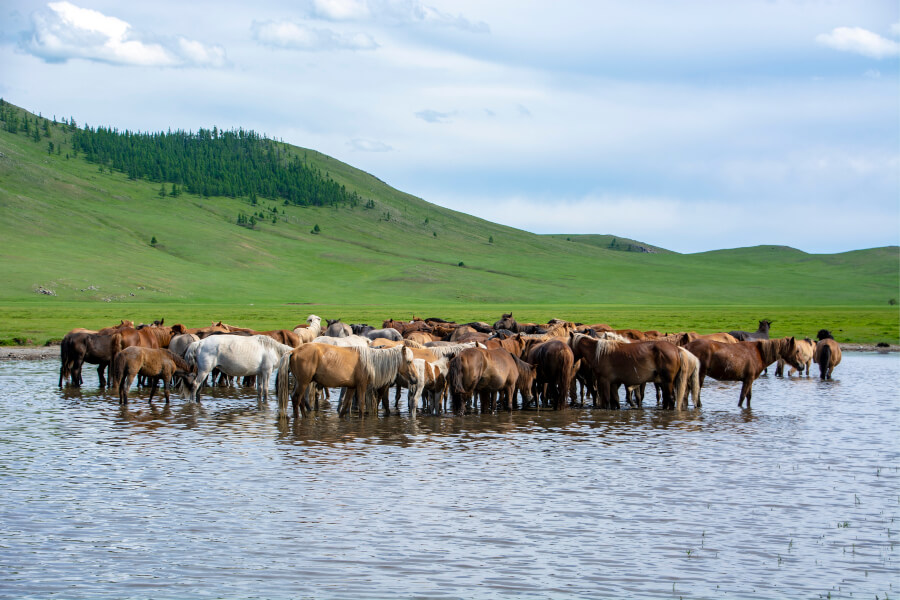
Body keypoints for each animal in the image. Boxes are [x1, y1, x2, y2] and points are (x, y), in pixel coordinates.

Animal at [275, 344, 416, 419]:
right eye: (409, 361)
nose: (415, 379)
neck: (371, 362)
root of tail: (293, 351)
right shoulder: (361, 386)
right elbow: (361, 405)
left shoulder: (351, 387)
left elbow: (345, 406)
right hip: (303, 382)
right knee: (296, 398)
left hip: (301, 382)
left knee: (298, 399)